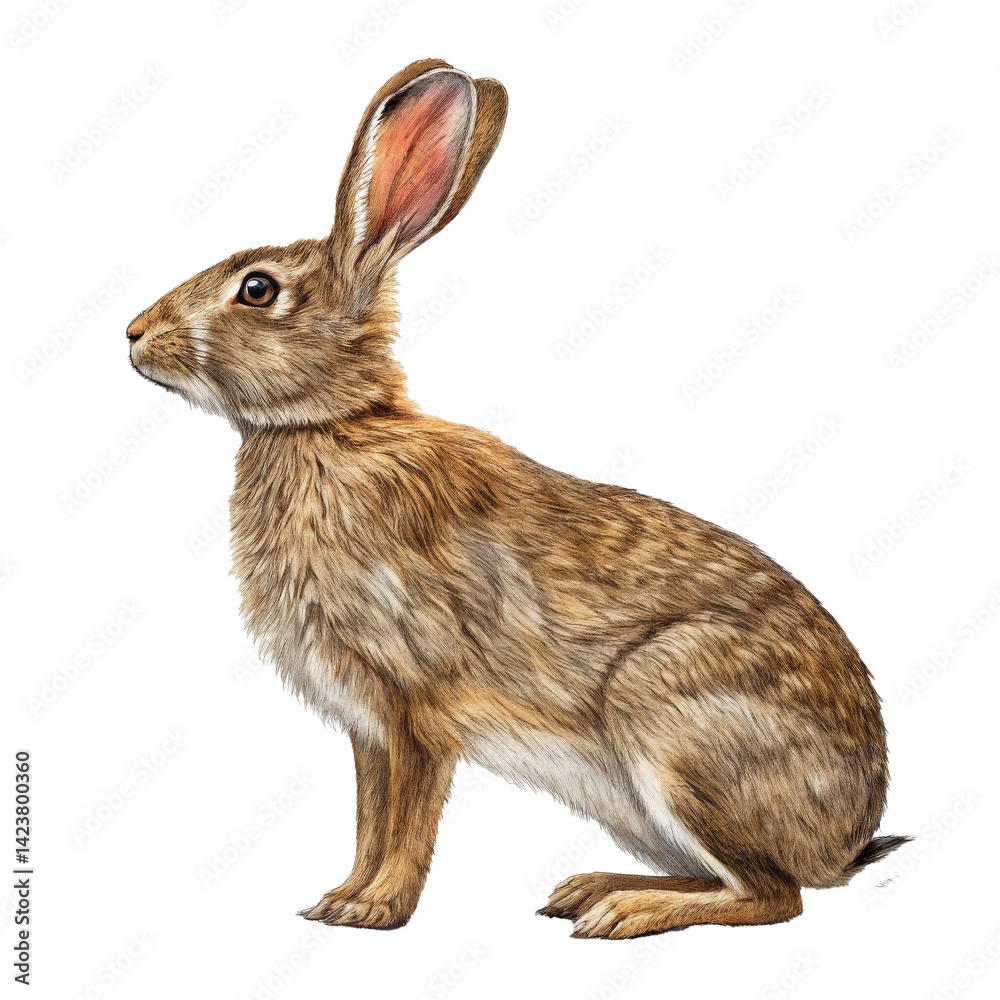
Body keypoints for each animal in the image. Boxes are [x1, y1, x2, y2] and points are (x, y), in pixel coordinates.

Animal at [126, 58, 908, 939]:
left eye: (257, 290)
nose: (133, 333)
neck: (330, 427)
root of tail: (848, 837)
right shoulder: (367, 725)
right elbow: (368, 815)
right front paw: (338, 898)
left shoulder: (417, 705)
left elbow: (407, 818)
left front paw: (376, 910)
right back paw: (589, 888)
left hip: (675, 725)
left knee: (774, 896)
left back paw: (622, 912)